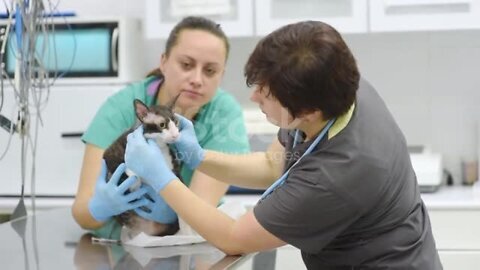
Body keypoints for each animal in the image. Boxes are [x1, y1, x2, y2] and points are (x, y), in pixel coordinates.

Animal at [103, 95, 182, 236]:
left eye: (176, 122)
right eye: (162, 125)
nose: (175, 135)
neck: (157, 147)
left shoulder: (172, 165)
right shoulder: (110, 153)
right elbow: (123, 168)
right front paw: (135, 181)